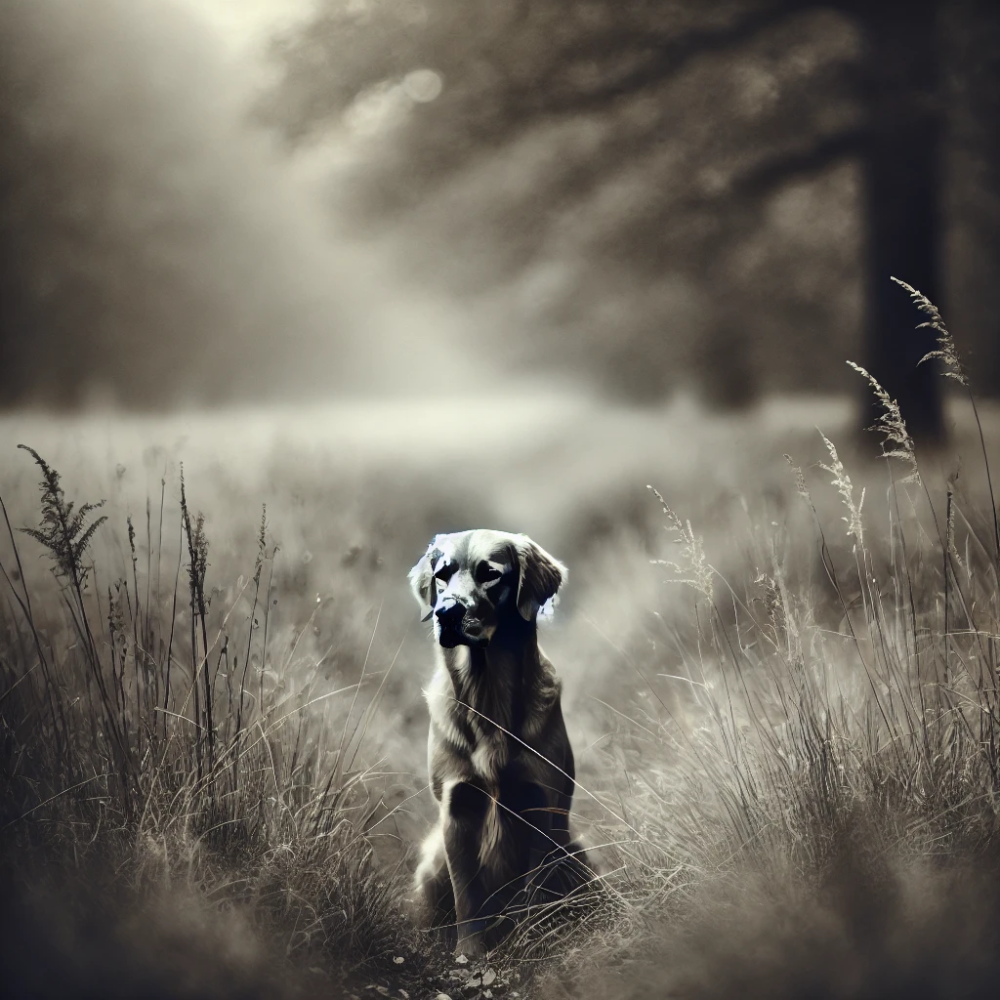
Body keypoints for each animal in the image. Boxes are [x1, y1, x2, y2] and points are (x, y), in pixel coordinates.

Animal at [408, 528, 592, 956]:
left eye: (490, 574)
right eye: (441, 575)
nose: (446, 613)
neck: (486, 699)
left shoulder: (540, 806)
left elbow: (533, 892)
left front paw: (530, 942)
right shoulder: (457, 809)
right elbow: (466, 895)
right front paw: (470, 953)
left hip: (574, 852)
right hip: (430, 863)